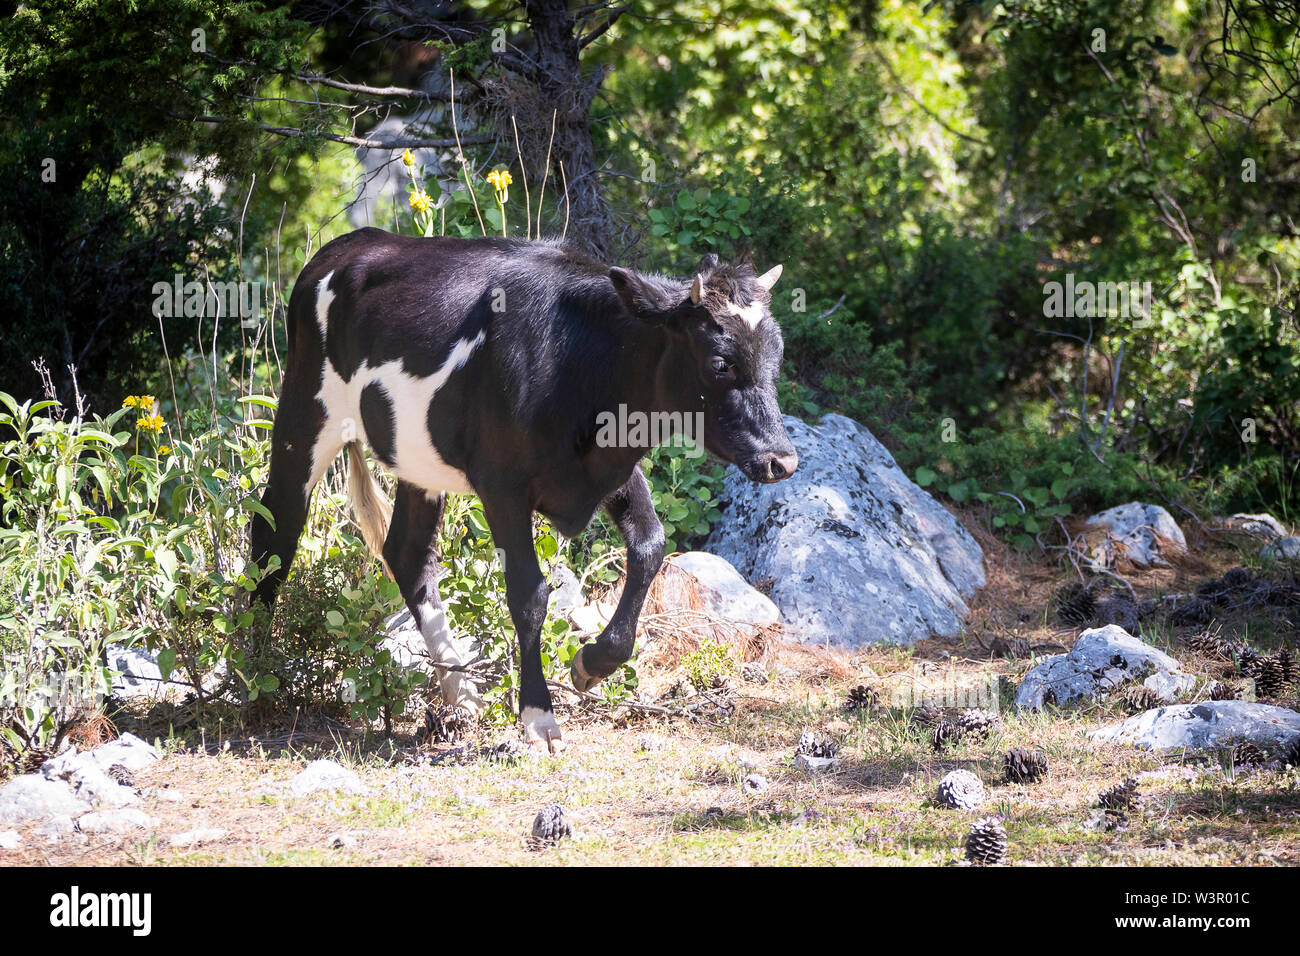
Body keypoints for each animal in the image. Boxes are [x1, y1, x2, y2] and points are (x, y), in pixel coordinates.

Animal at [244, 227, 790, 749]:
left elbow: (650, 547)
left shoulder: (610, 467)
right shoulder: (501, 485)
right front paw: (538, 715)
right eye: (719, 362)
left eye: (776, 357)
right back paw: (252, 676)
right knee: (275, 532)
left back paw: (459, 690)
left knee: (407, 553)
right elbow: (529, 593)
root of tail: (346, 245)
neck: (579, 361)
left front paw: (592, 663)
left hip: (418, 459)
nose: (782, 459)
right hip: (303, 413)